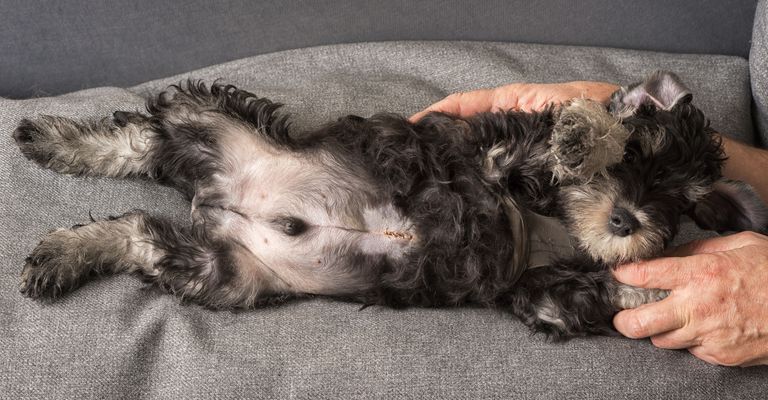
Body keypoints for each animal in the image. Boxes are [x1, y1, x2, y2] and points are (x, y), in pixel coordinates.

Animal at [13, 71, 768, 338]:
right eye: (636, 158)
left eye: (684, 202)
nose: (626, 220)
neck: (555, 225)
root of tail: (218, 204)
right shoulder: (493, 154)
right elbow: (560, 136)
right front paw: (584, 138)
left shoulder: (543, 295)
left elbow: (603, 292)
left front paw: (659, 282)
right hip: (218, 122)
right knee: (143, 137)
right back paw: (49, 143)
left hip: (220, 272)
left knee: (138, 225)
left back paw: (59, 246)